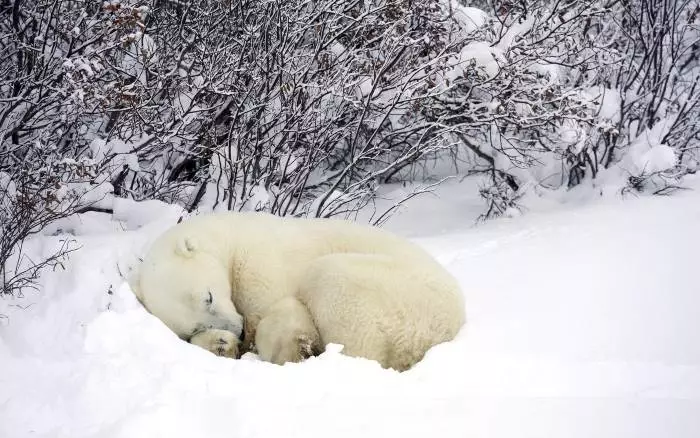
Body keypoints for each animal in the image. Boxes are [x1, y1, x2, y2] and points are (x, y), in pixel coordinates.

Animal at [134, 210, 468, 372]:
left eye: (209, 296)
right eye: (195, 325)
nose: (238, 330)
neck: (229, 237)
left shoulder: (258, 262)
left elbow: (276, 310)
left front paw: (288, 346)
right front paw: (221, 343)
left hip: (392, 291)